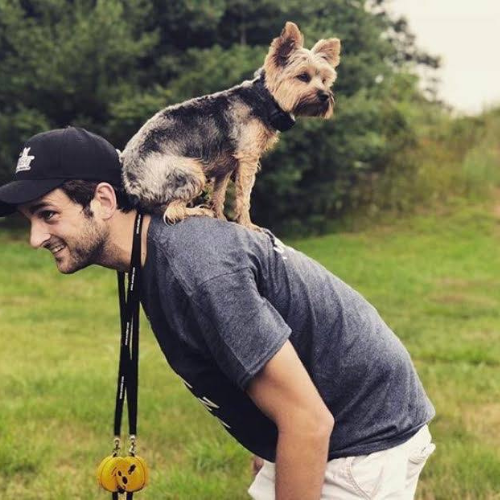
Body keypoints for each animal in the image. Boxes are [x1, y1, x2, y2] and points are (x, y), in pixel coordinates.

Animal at [121, 21, 340, 229]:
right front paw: (247, 225)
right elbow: (244, 196)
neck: (264, 99)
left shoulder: (225, 167)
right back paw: (199, 211)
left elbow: (219, 195)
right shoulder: (248, 158)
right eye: (303, 76)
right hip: (192, 172)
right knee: (173, 210)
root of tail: (131, 185)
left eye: (324, 80)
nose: (325, 95)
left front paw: (221, 218)